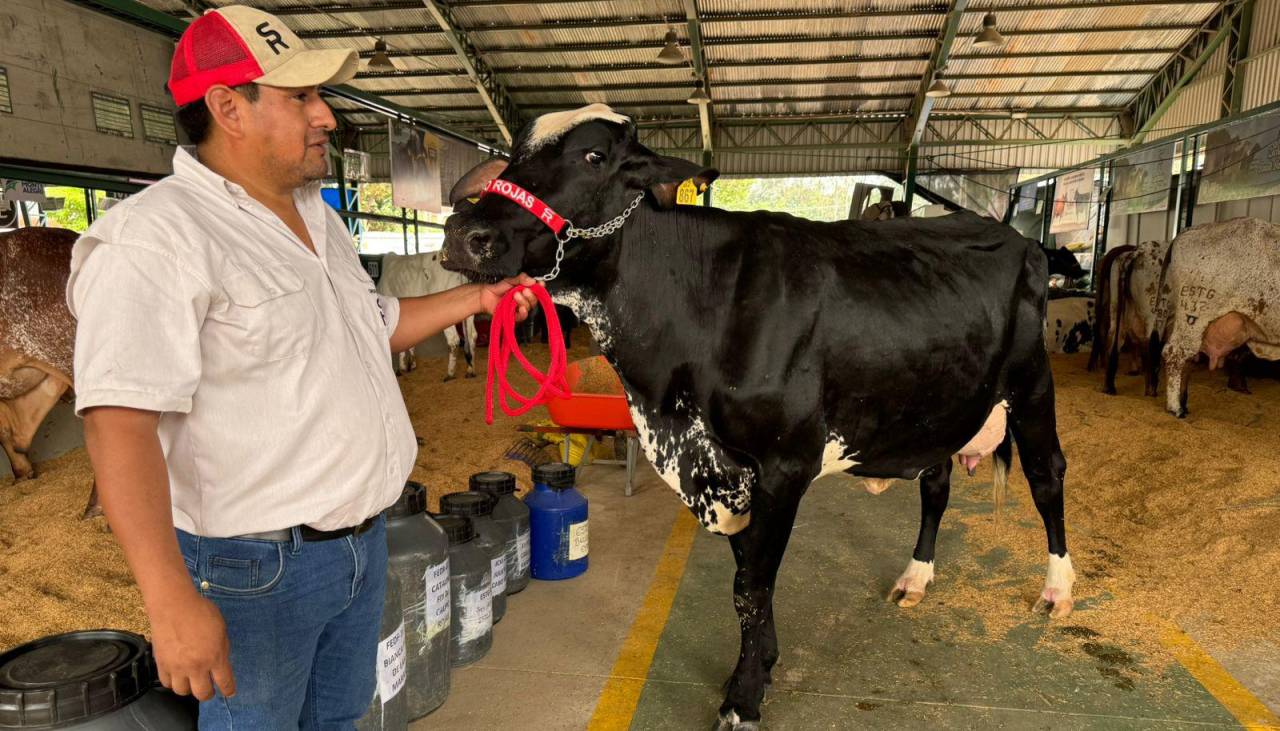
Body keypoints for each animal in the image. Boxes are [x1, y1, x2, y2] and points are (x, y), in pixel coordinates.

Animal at [440, 105, 1070, 727]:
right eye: (513, 152)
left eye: (594, 155)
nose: (464, 234)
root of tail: (1012, 234)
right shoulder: (727, 470)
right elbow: (748, 577)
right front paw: (762, 664)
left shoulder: (784, 464)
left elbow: (753, 586)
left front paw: (742, 699)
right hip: (935, 408)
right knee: (936, 485)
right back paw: (915, 578)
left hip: (1033, 383)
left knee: (1047, 476)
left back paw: (1058, 591)